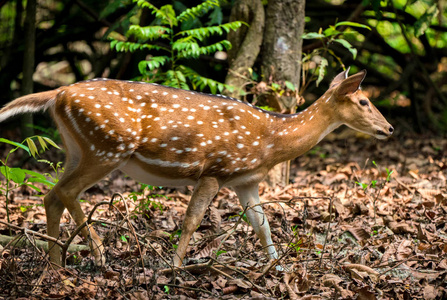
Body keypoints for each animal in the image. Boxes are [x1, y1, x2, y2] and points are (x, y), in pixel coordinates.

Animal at [0, 68, 392, 268]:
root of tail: (58, 94)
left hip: (76, 148)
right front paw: (174, 268)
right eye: (363, 101)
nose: (388, 128)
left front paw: (277, 268)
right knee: (65, 192)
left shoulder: (245, 180)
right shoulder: (215, 170)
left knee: (51, 195)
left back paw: (56, 266)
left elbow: (262, 224)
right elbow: (190, 220)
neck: (271, 140)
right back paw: (97, 253)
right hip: (108, 146)